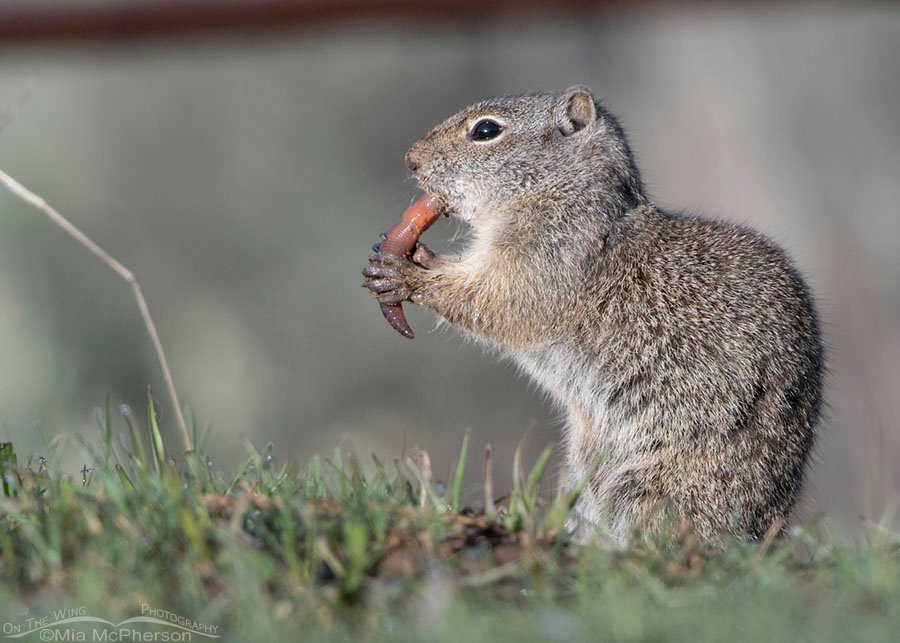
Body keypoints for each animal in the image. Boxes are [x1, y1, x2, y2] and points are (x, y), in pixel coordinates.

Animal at [363, 85, 824, 544]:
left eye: (486, 130)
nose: (411, 159)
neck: (562, 190)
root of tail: (765, 531)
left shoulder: (549, 253)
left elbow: (498, 300)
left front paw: (404, 273)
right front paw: (414, 254)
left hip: (657, 485)